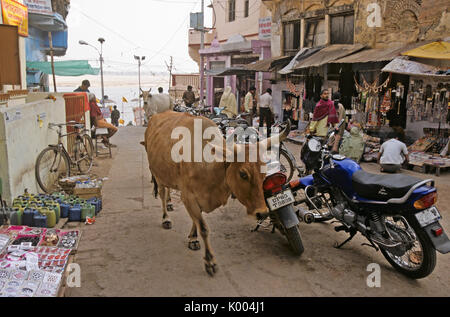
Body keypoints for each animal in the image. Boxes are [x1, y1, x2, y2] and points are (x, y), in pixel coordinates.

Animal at [142, 111, 290, 274]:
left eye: (264, 174)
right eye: (243, 174)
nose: (262, 213)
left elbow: (196, 221)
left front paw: (192, 238)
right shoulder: (188, 197)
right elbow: (204, 228)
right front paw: (210, 261)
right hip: (157, 174)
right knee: (162, 194)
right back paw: (166, 218)